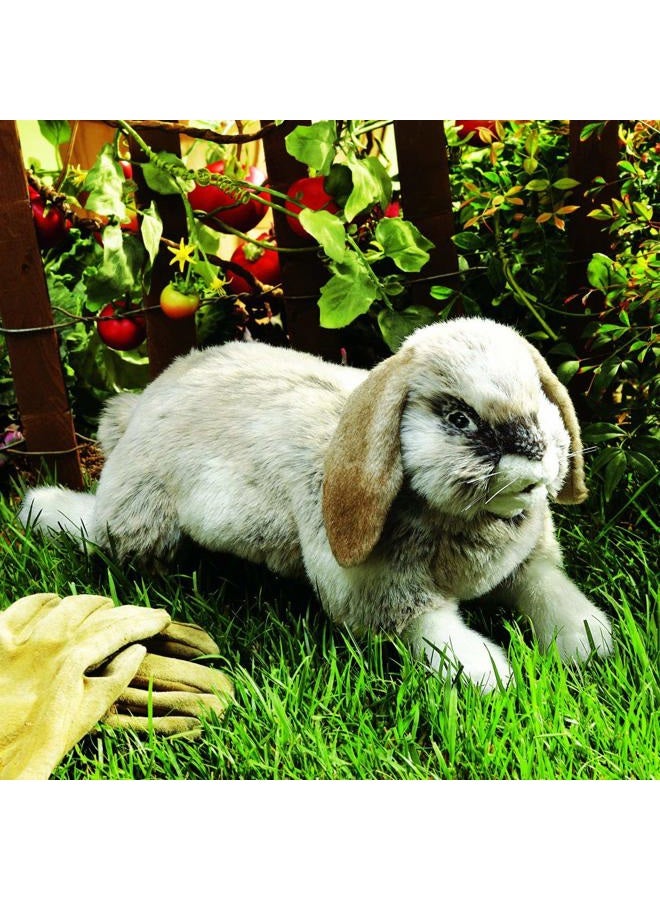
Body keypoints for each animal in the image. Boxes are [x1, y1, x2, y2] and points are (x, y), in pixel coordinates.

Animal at [20, 316, 613, 691]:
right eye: (459, 418)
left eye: (540, 398)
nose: (535, 454)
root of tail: (144, 403)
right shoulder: (386, 595)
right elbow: (435, 631)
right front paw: (489, 676)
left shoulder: (528, 566)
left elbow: (551, 592)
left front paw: (592, 643)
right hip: (139, 519)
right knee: (98, 532)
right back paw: (44, 508)